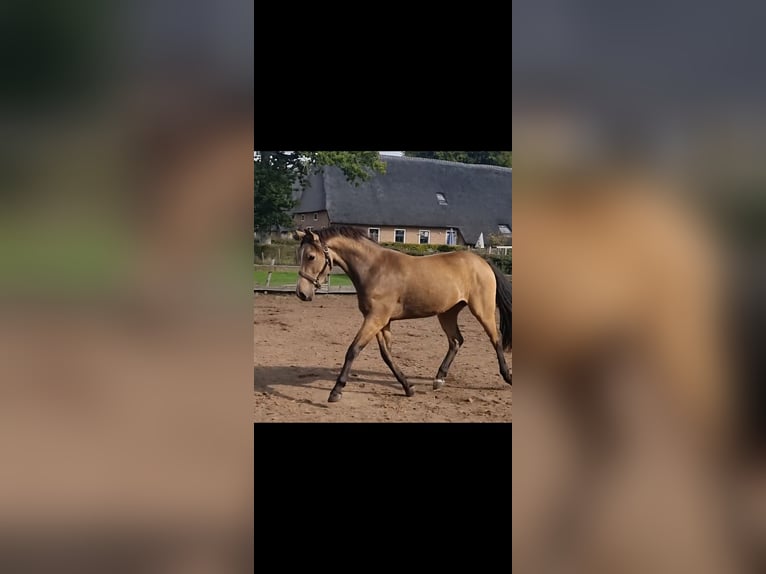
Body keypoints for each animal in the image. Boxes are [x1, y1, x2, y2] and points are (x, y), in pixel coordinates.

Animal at [292, 226, 512, 403]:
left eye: (311, 256)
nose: (301, 293)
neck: (374, 269)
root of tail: (483, 262)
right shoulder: (381, 321)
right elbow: (386, 355)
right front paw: (408, 387)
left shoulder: (376, 318)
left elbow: (353, 350)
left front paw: (336, 391)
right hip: (447, 313)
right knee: (456, 340)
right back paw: (439, 379)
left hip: (482, 309)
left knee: (495, 339)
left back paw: (507, 377)